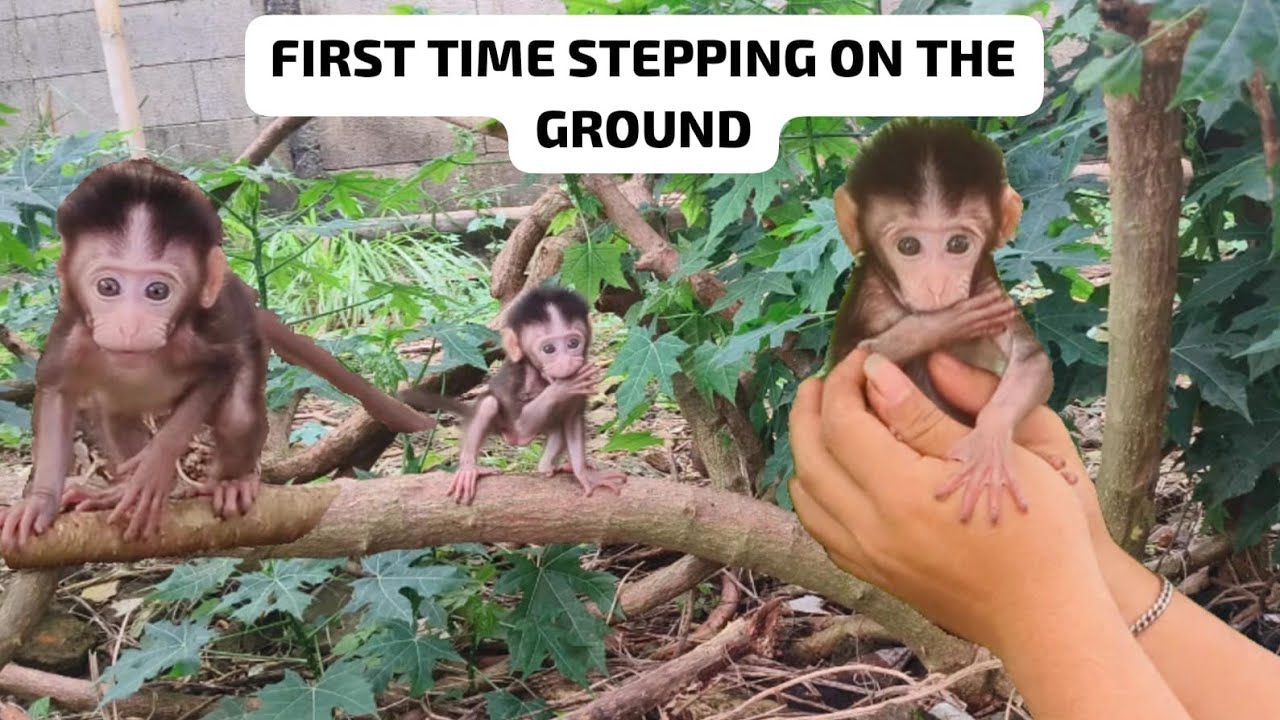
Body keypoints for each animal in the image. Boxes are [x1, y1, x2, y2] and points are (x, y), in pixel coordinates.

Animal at [0, 158, 432, 550]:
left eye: (157, 291)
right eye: (108, 287)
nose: (129, 326)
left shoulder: (198, 340)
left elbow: (218, 372)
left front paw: (155, 467)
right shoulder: (72, 336)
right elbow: (56, 394)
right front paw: (41, 502)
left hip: (249, 339)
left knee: (238, 413)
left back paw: (230, 482)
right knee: (117, 414)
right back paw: (121, 491)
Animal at [402, 286, 627, 505]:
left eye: (573, 343)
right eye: (549, 349)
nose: (568, 363)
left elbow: (572, 418)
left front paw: (583, 474)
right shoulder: (520, 384)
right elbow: (522, 427)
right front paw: (563, 387)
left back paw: (549, 467)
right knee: (489, 404)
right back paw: (468, 468)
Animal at [825, 118, 1074, 524]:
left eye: (958, 244)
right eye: (908, 246)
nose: (937, 285)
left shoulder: (989, 286)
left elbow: (1031, 360)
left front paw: (989, 442)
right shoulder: (870, 301)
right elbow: (864, 356)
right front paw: (947, 322)